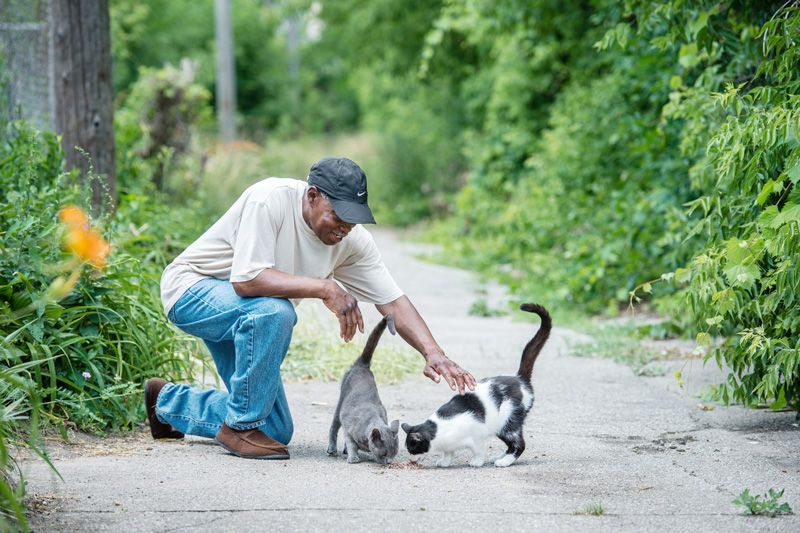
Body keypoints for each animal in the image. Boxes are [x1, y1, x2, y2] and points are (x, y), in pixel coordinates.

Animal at [324, 314, 400, 464]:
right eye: (384, 454)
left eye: (394, 453)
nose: (389, 462)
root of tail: (363, 365)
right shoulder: (349, 430)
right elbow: (351, 443)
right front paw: (353, 457)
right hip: (341, 403)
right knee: (334, 427)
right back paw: (332, 449)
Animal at [400, 304, 552, 466]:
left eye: (412, 447)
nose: (410, 456)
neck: (439, 429)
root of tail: (519, 378)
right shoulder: (448, 445)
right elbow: (448, 452)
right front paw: (444, 462)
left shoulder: (476, 435)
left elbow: (478, 450)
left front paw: (477, 462)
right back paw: (498, 457)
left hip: (507, 422)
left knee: (519, 444)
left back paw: (504, 462)